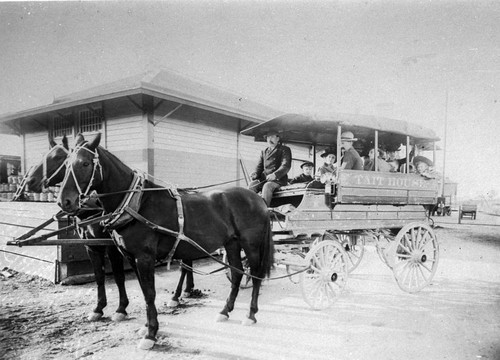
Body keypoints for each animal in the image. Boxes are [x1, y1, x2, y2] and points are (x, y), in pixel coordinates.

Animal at [24, 135, 195, 320]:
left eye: (57, 158)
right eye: (66, 162)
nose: (29, 181)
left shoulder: (112, 247)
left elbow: (119, 276)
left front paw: (121, 308)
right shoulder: (92, 246)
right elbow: (99, 277)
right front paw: (98, 308)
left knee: (184, 266)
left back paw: (176, 296)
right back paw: (187, 290)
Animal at [57, 133, 274, 348]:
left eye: (85, 163)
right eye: (66, 164)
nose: (64, 201)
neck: (137, 204)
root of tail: (258, 199)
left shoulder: (144, 257)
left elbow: (150, 293)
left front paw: (151, 334)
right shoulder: (131, 257)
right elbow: (144, 291)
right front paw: (146, 326)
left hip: (251, 245)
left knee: (255, 274)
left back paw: (250, 314)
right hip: (232, 243)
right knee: (237, 274)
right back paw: (225, 311)